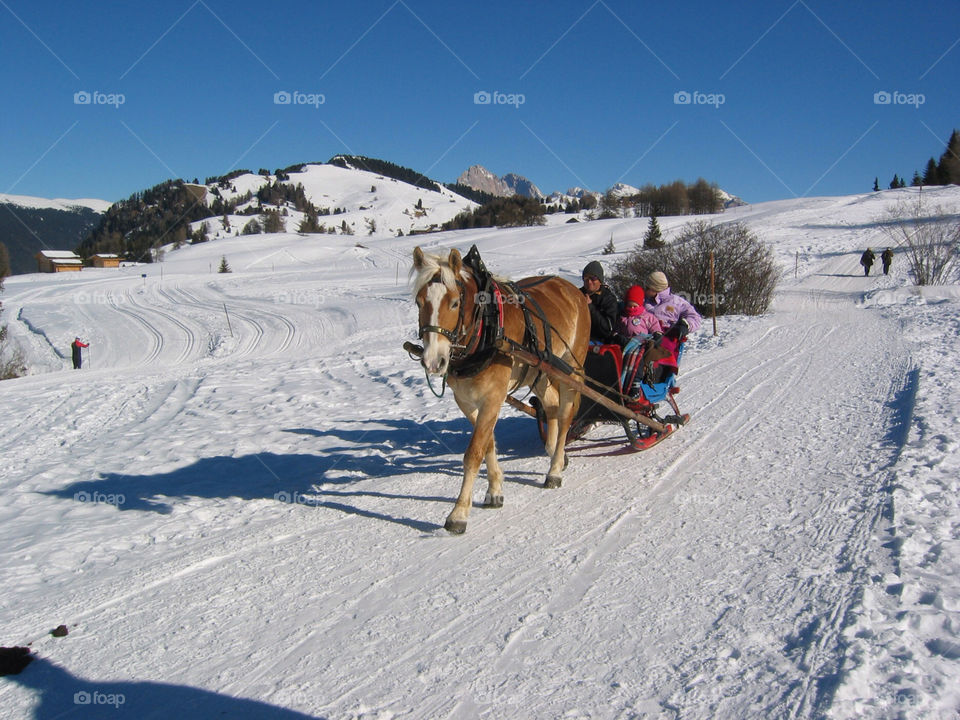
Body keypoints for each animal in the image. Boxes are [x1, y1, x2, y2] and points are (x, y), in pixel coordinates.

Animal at [408, 248, 588, 536]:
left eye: (454, 303)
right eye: (418, 301)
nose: (433, 362)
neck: (486, 328)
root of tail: (572, 289)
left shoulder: (493, 397)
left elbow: (473, 453)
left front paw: (459, 513)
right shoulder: (466, 401)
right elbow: (487, 443)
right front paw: (494, 490)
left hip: (572, 369)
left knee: (565, 413)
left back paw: (555, 469)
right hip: (539, 371)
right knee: (550, 405)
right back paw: (553, 452)